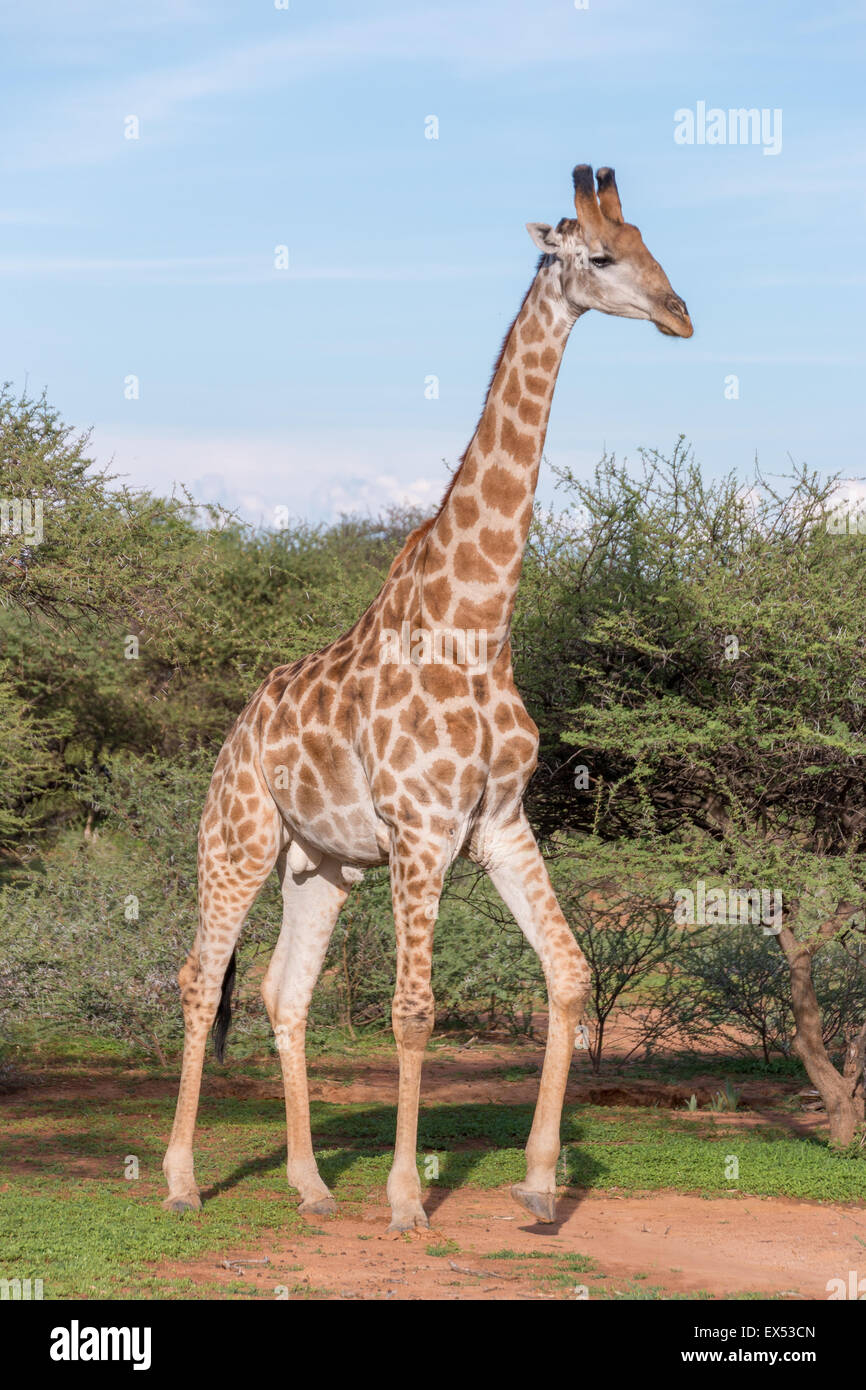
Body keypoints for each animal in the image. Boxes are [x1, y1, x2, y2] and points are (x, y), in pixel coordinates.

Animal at [161, 162, 692, 1228]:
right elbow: (414, 1013)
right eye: (600, 257)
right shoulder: (422, 829)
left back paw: (311, 1184)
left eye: (653, 246)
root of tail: (236, 732)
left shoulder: (498, 822)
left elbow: (569, 975)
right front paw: (408, 1198)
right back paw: (182, 1180)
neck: (478, 619)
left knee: (281, 993)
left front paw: (539, 1183)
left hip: (319, 864)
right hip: (237, 839)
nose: (679, 313)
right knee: (201, 979)